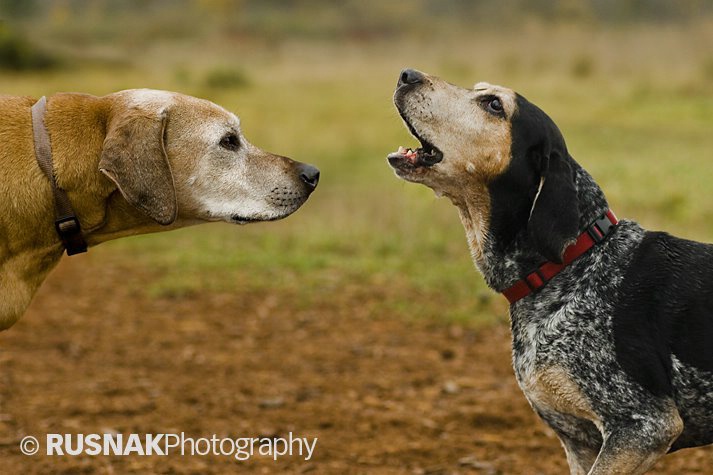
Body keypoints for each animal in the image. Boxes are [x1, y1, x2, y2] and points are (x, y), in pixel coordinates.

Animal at [390, 69, 712, 474]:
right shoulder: (581, 442)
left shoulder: (643, 426)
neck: (570, 264)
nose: (407, 75)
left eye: (494, 105)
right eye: (481, 91)